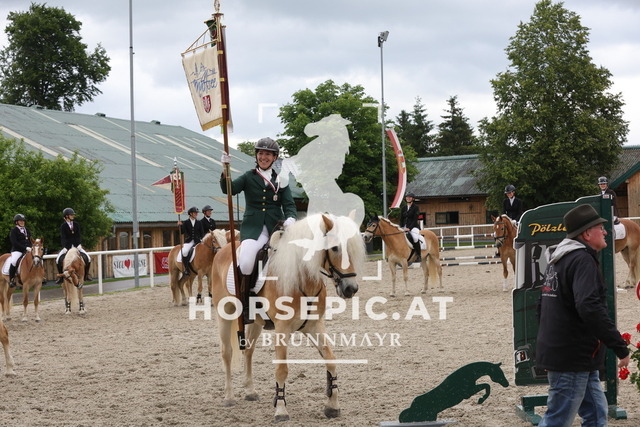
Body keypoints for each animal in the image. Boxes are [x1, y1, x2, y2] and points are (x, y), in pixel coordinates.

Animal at [209, 213, 366, 422]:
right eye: (334, 248)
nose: (351, 289)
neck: (302, 279)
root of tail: (224, 250)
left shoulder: (314, 325)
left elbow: (331, 358)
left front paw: (332, 405)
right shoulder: (282, 329)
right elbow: (282, 369)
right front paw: (281, 409)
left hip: (256, 322)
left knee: (248, 351)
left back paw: (250, 391)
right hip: (224, 313)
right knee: (227, 353)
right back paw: (228, 397)